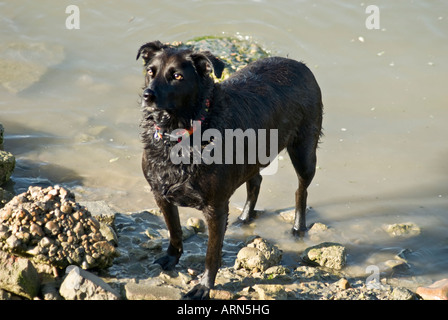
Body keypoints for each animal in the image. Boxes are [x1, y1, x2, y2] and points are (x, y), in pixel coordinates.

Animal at [136, 40, 322, 300]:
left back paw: (297, 228)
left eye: (177, 76)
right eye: (151, 71)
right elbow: (174, 231)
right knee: (256, 182)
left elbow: (211, 253)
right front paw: (170, 259)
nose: (147, 95)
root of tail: (300, 65)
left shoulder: (215, 207)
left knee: (301, 191)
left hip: (304, 152)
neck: (181, 135)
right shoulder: (161, 193)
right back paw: (244, 218)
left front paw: (204, 286)